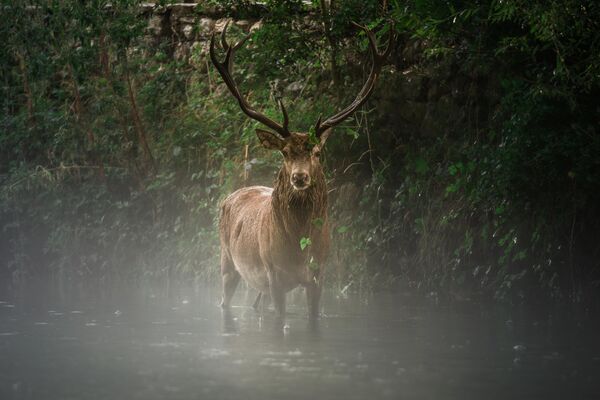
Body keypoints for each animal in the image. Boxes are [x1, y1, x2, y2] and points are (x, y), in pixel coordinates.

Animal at [211, 21, 394, 322]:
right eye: (285, 153)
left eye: (317, 152)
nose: (299, 177)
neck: (298, 249)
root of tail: (230, 196)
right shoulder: (273, 273)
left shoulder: (319, 274)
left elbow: (313, 318)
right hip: (228, 261)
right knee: (225, 299)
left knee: (255, 304)